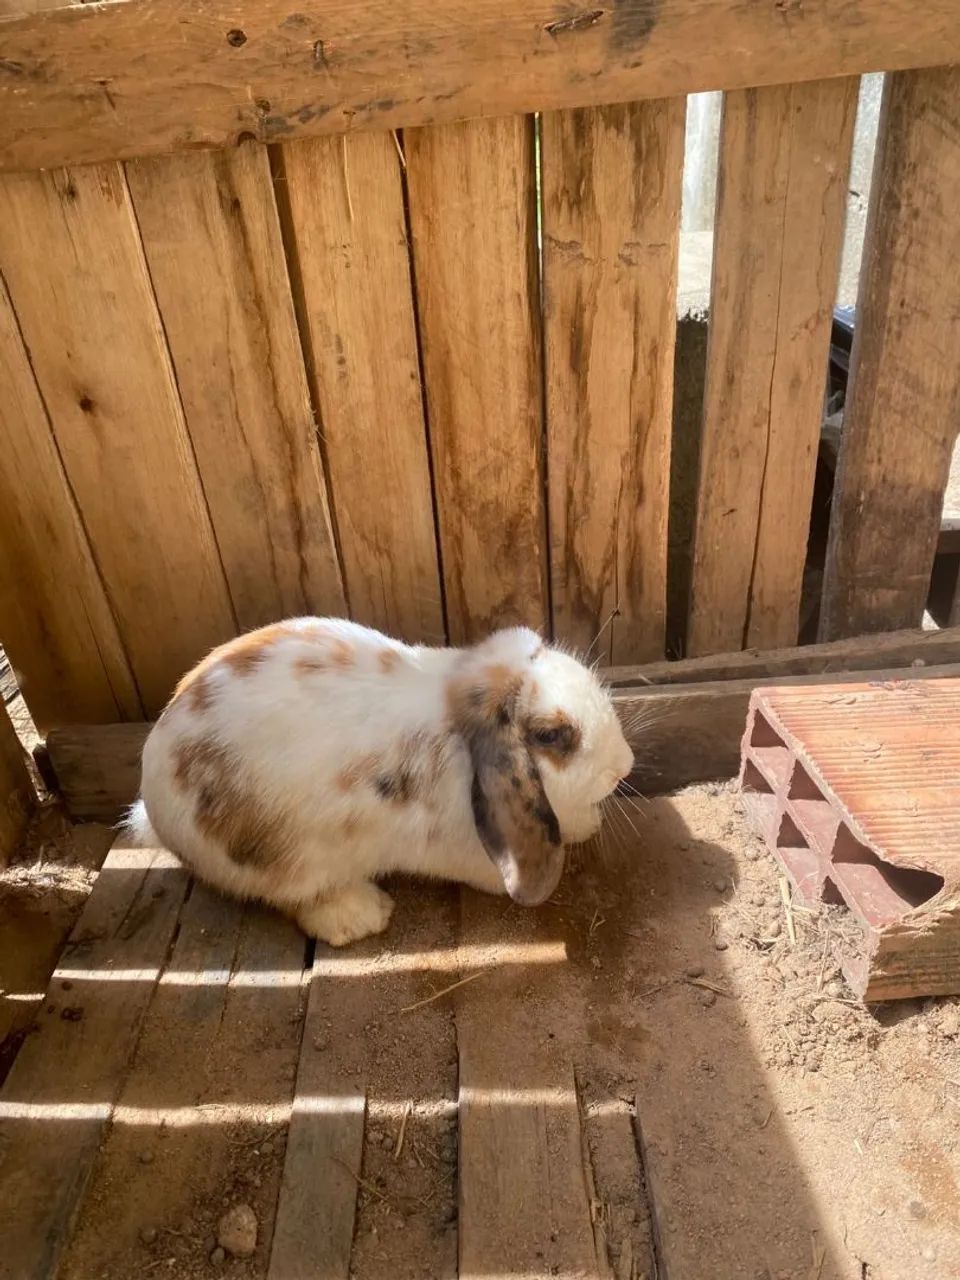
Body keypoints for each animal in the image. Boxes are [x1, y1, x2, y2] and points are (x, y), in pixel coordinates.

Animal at [126, 618, 634, 947]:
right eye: (551, 736)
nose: (624, 766)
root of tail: (153, 803)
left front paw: (584, 823)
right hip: (280, 861)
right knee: (294, 898)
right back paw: (360, 916)